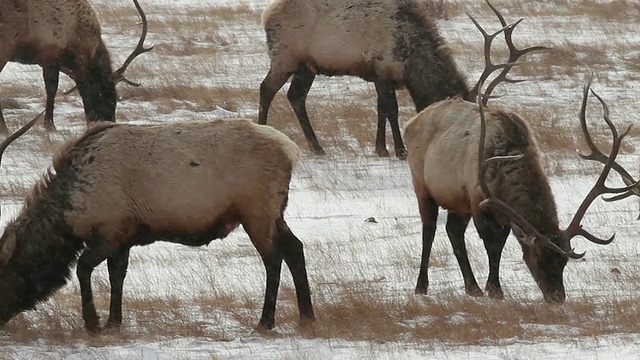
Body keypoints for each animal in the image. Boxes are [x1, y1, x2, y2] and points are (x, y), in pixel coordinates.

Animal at [0, 0, 152, 132]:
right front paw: (49, 125)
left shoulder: (48, 58)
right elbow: (52, 88)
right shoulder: (53, 53)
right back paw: (4, 129)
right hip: (5, 46)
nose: (108, 122)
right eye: (108, 96)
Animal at [0, 116, 316, 334]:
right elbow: (117, 276)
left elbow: (84, 268)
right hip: (274, 213)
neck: (71, 211)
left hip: (256, 210)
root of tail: (291, 150)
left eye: (5, 273)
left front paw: (93, 323)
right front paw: (114, 322)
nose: (1, 320)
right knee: (295, 248)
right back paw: (306, 315)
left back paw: (266, 321)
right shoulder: (123, 236)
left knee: (273, 258)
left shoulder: (109, 230)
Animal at [258, 0, 544, 158]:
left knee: (296, 96)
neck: (410, 58)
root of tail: (266, 14)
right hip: (285, 55)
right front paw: (399, 150)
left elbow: (381, 110)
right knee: (266, 89)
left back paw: (317, 147)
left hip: (307, 66)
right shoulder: (383, 69)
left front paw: (380, 148)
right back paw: (263, 131)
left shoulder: (380, 75)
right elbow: (392, 110)